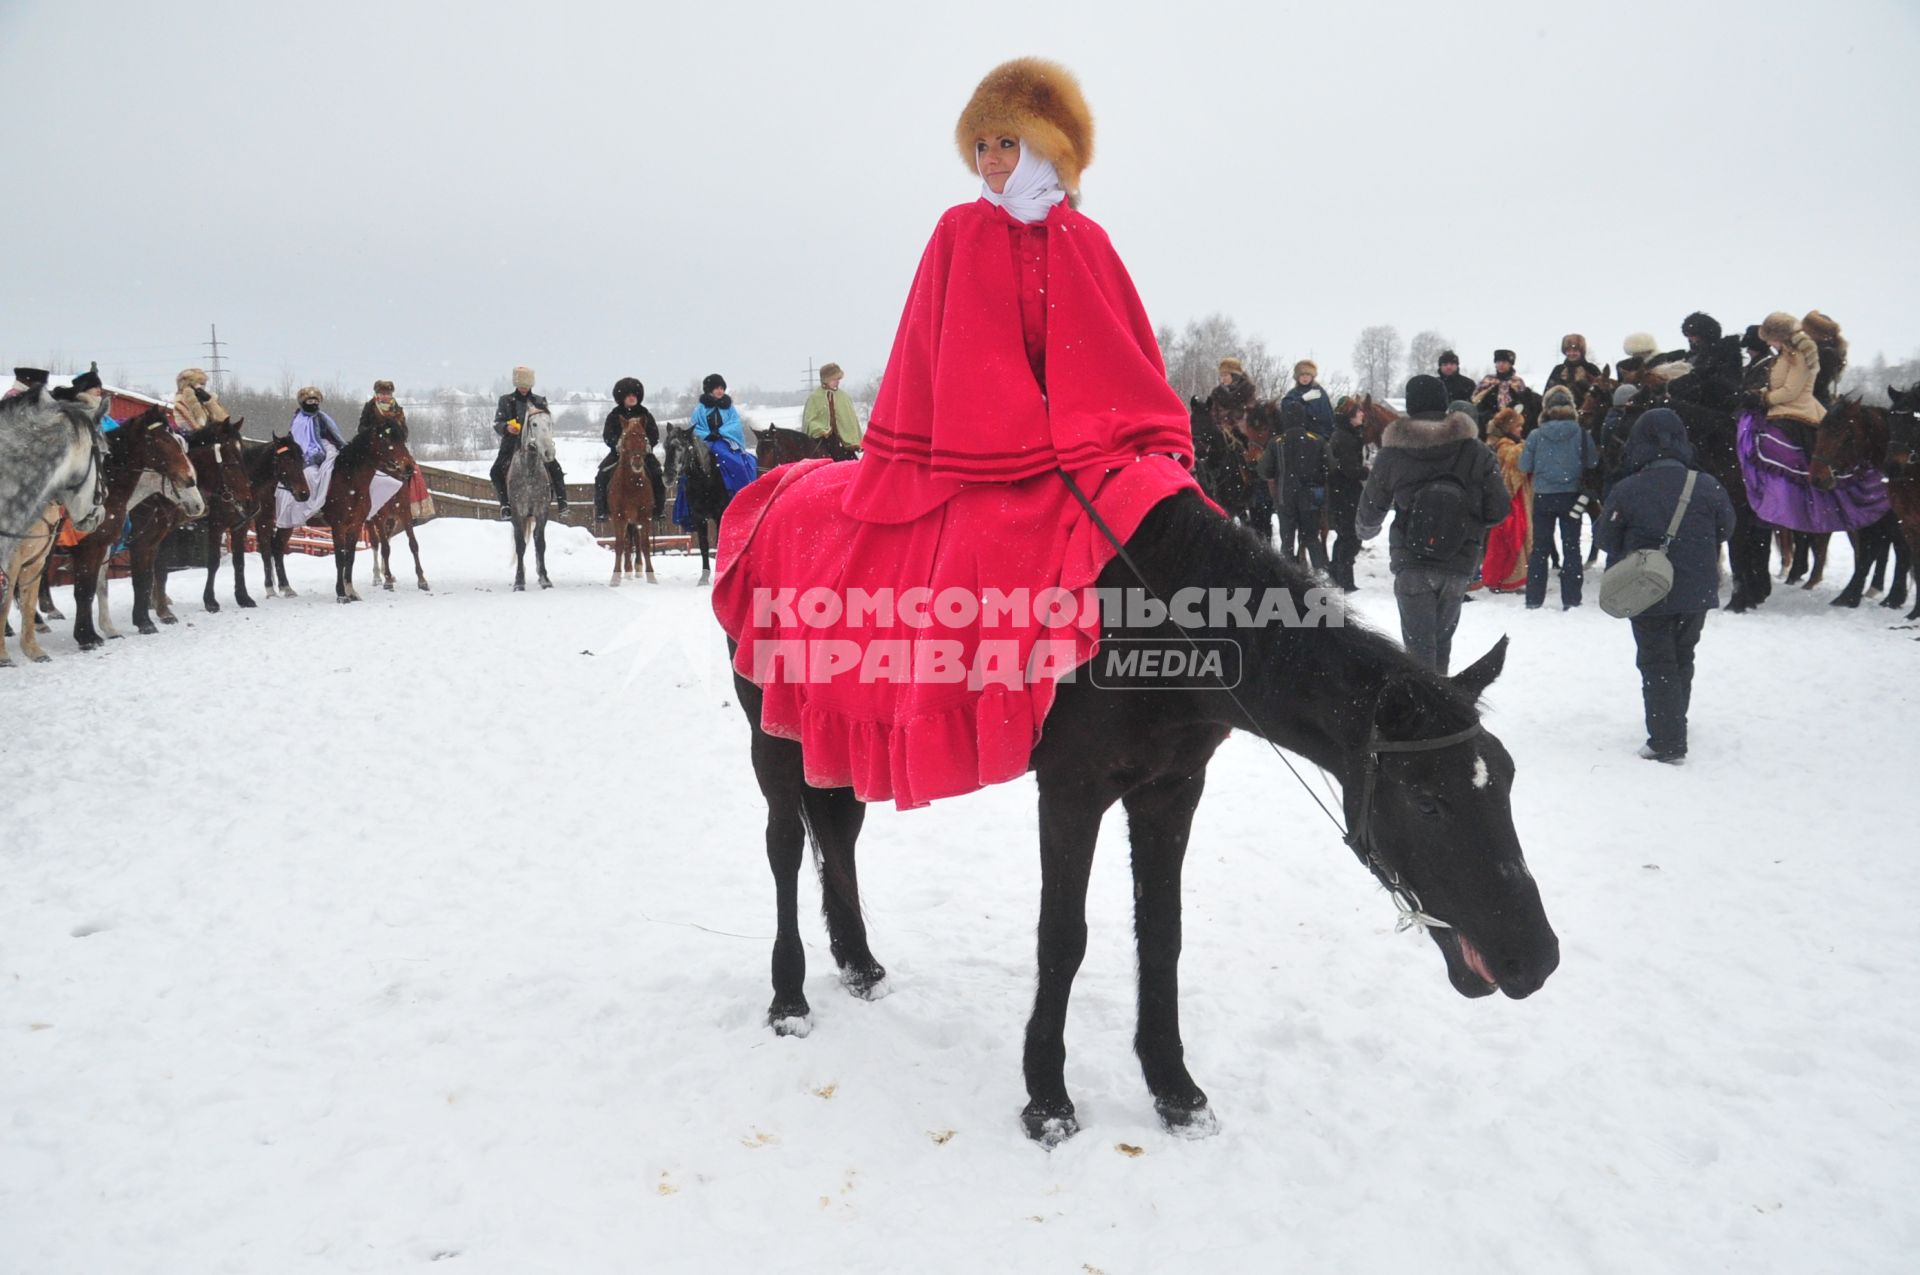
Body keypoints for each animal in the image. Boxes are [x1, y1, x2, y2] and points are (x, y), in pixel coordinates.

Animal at [606, 410, 660, 583]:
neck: (632, 484)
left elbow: (645, 544)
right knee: (627, 542)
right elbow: (619, 545)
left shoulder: (645, 515)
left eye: (644, 436)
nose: (637, 462)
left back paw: (637, 568)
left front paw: (651, 576)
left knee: (635, 538)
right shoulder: (618, 516)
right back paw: (628, 570)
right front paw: (615, 578)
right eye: (626, 436)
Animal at [733, 485, 1559, 1144]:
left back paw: (859, 962)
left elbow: (1163, 933)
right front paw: (1048, 1098)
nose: (1536, 956)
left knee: (837, 836)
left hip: (839, 737)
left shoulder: (1171, 789)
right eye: (1428, 799)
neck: (1159, 617)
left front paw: (1175, 1088)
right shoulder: (1071, 791)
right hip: (774, 732)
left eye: (1507, 781)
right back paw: (788, 994)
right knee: (783, 846)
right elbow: (1062, 938)